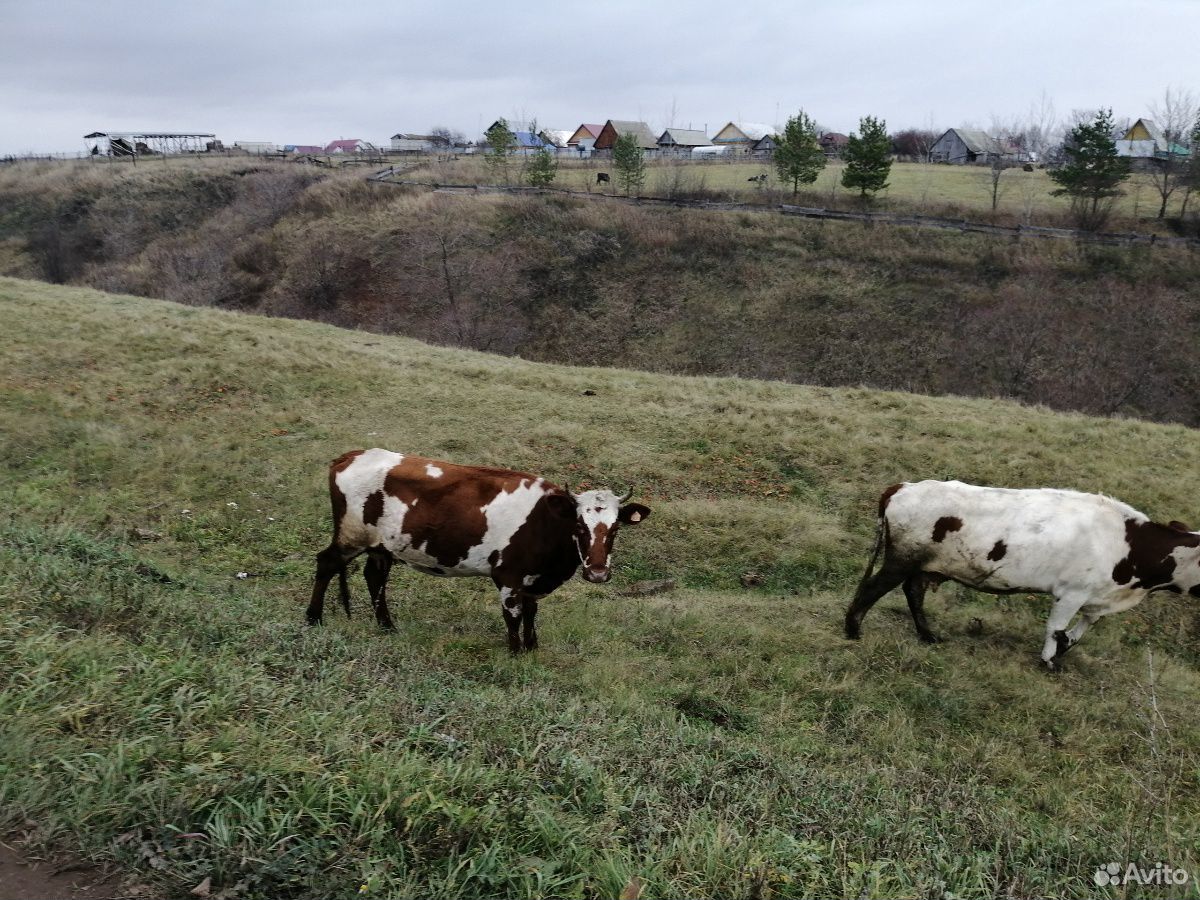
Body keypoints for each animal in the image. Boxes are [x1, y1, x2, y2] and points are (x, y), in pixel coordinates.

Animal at [844, 480, 1200, 672]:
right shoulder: (1071, 593)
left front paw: (1063, 650)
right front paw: (1049, 661)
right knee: (873, 589)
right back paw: (852, 630)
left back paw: (928, 635)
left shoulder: (1095, 597)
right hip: (901, 559)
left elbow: (1079, 631)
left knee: (913, 592)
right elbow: (1055, 629)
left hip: (925, 566)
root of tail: (902, 487)